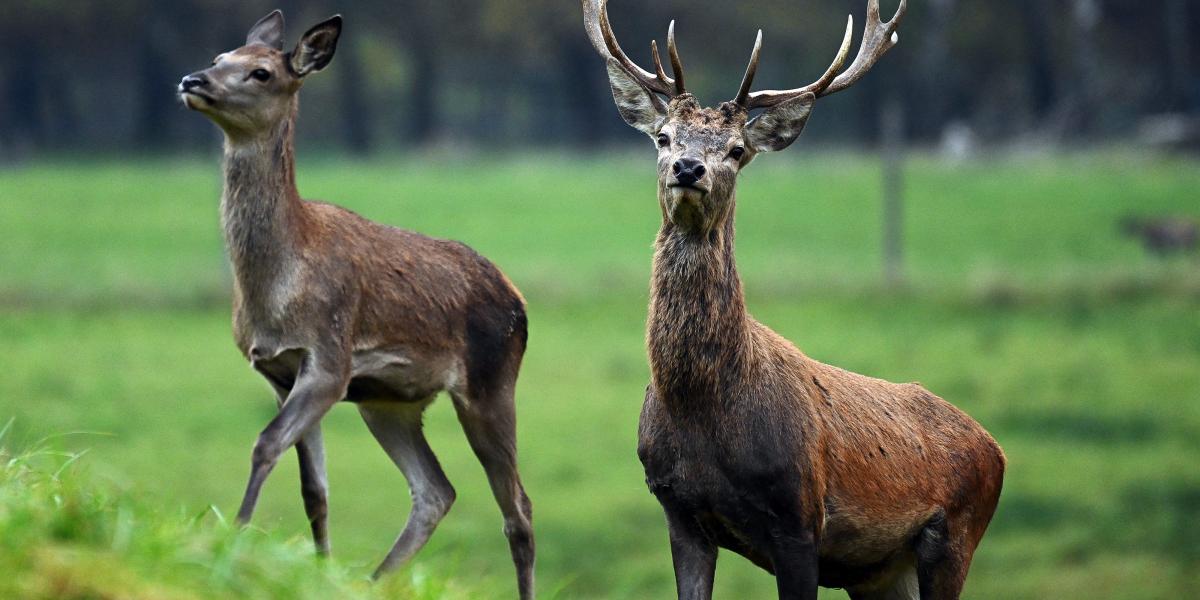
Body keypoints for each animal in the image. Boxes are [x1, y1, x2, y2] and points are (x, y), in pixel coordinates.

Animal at [177, 11, 535, 597]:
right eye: (219, 56)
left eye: (261, 72)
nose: (193, 80)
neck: (277, 287)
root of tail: (518, 299)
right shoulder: (280, 372)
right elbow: (314, 490)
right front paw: (319, 568)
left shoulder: (330, 357)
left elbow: (264, 445)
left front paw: (232, 539)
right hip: (388, 403)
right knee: (436, 491)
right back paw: (374, 578)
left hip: (490, 382)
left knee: (518, 509)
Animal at [580, 2, 1003, 597]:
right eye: (663, 137)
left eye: (737, 149)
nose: (689, 168)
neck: (701, 405)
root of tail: (997, 450)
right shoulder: (679, 513)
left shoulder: (799, 517)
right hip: (880, 573)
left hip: (957, 534)